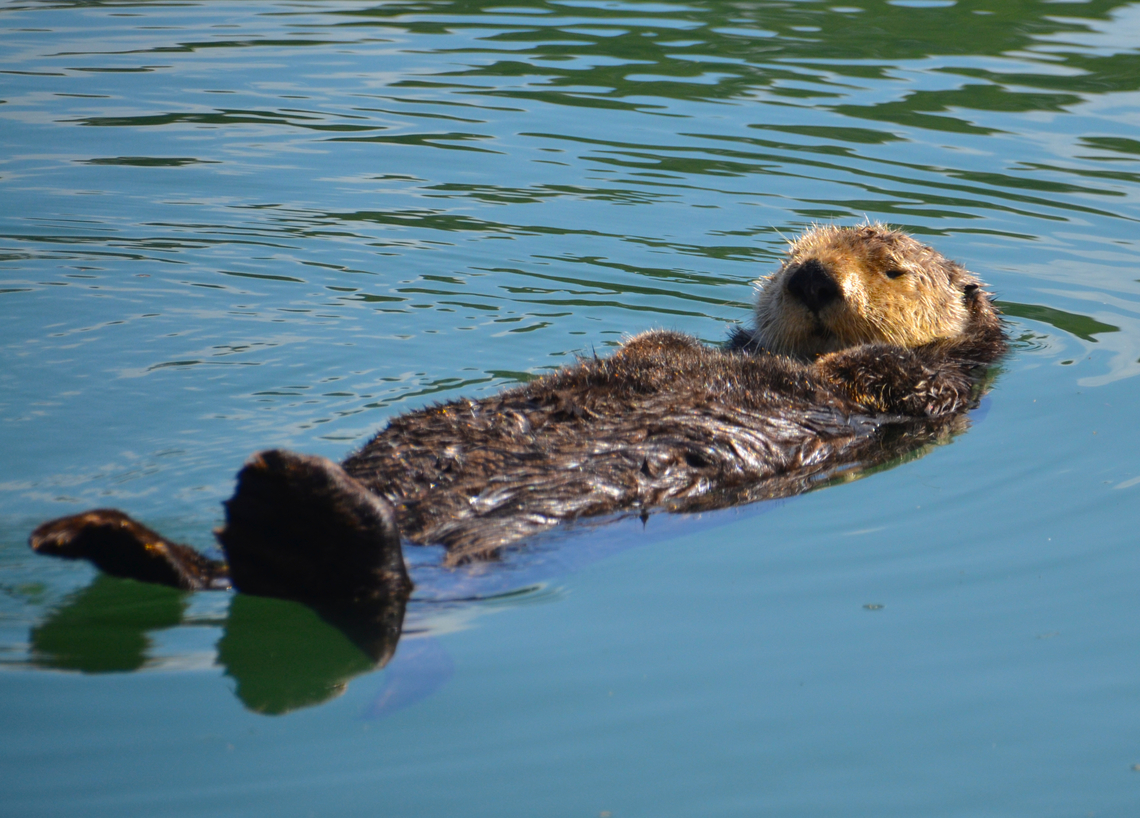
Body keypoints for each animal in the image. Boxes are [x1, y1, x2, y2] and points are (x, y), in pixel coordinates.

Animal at [29, 223, 1007, 622]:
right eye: (794, 253)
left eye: (890, 269)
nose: (810, 278)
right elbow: (660, 343)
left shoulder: (933, 397)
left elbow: (884, 380)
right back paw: (111, 536)